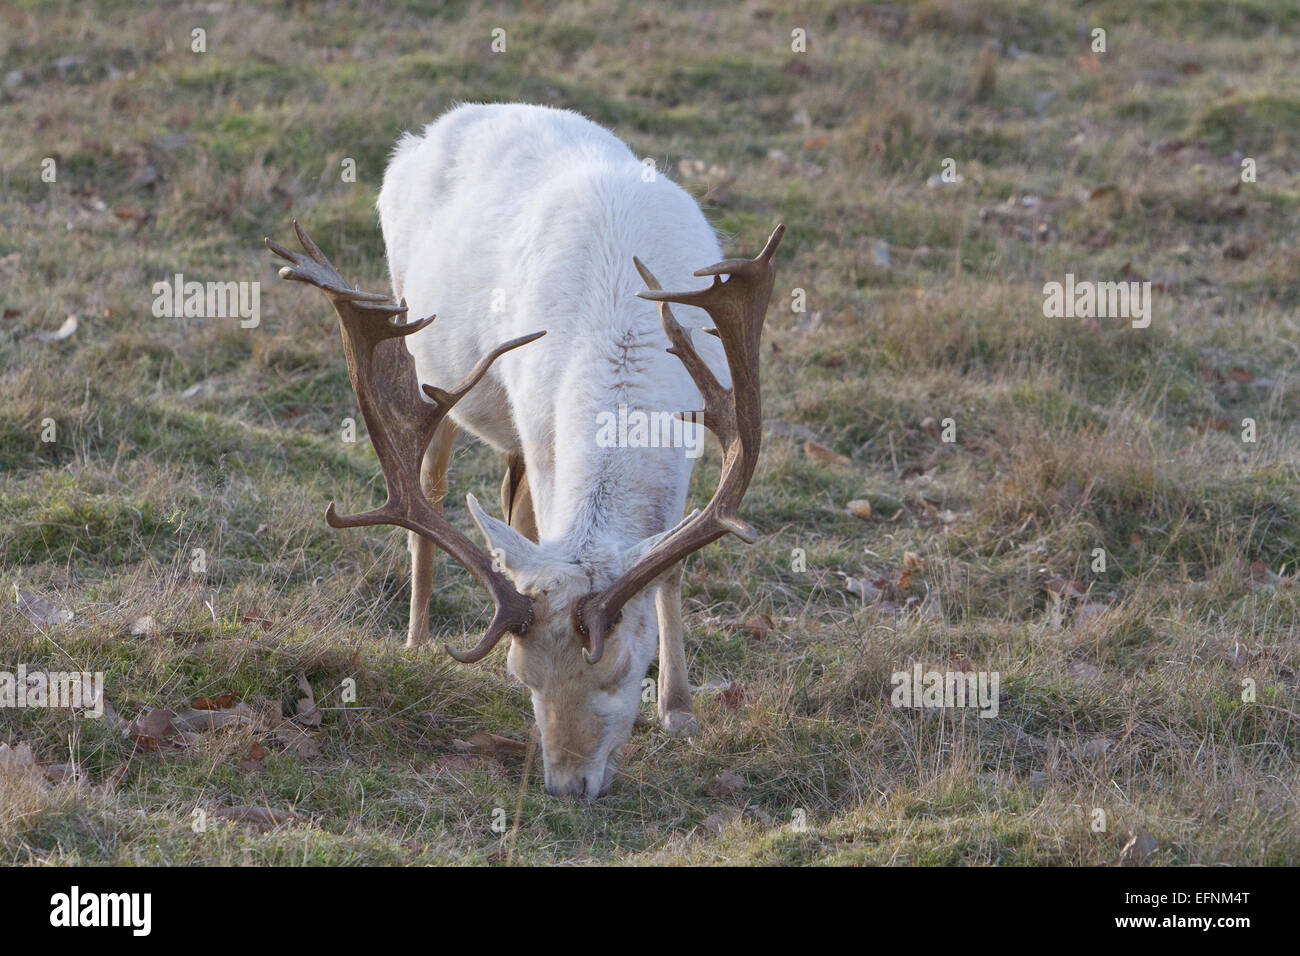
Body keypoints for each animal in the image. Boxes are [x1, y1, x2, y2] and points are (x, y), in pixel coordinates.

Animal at [266, 100, 780, 801]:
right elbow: (540, 525)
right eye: (524, 678)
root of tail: (432, 128)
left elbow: (671, 565)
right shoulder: (539, 430)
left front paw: (680, 711)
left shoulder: (695, 437)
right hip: (420, 348)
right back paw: (415, 640)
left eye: (622, 673)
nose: (566, 786)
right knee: (433, 485)